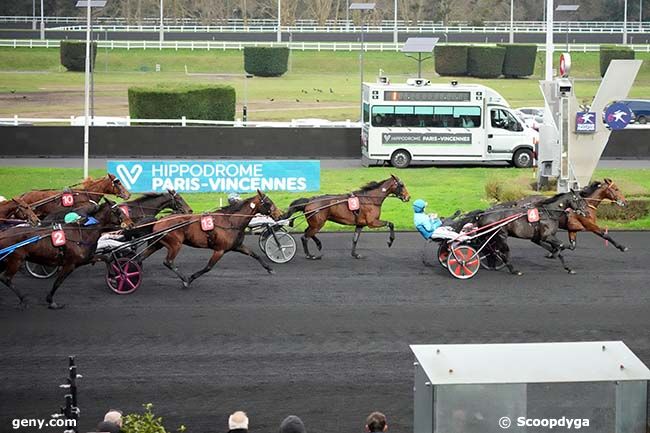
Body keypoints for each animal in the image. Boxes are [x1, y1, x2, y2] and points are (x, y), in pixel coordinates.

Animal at [0, 197, 132, 308]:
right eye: (118, 211)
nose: (131, 224)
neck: (83, 233)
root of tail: (3, 234)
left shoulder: (85, 259)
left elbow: (106, 258)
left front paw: (114, 278)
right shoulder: (70, 264)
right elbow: (58, 282)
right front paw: (51, 301)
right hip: (16, 260)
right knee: (5, 278)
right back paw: (23, 299)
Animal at [138, 190, 280, 286]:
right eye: (268, 202)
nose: (280, 215)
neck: (230, 221)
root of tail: (159, 220)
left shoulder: (237, 246)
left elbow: (255, 255)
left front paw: (270, 269)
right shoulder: (219, 250)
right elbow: (208, 267)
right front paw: (191, 278)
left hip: (158, 244)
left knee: (141, 257)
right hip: (175, 244)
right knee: (168, 262)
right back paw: (184, 279)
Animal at [280, 174, 410, 258]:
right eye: (402, 185)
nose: (408, 197)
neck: (370, 199)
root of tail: (309, 201)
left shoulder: (360, 224)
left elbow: (355, 239)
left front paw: (355, 254)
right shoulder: (372, 222)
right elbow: (391, 224)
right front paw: (390, 241)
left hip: (314, 223)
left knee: (308, 233)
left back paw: (318, 244)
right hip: (318, 224)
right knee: (305, 237)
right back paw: (309, 255)